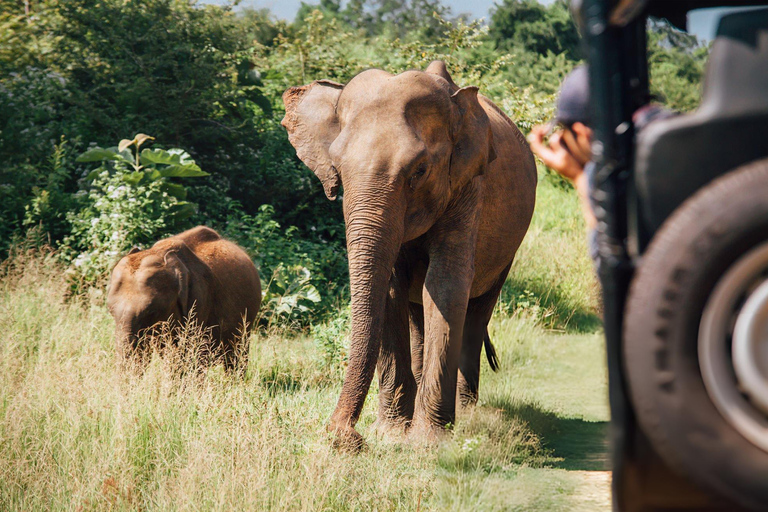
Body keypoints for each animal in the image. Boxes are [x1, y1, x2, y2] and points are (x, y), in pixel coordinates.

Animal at [282, 61, 537, 448]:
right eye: (336, 171)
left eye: (420, 171)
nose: (343, 436)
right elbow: (390, 289)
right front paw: (391, 434)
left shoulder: (468, 186)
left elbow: (445, 286)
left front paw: (429, 442)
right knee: (419, 312)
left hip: (509, 249)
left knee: (477, 312)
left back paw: (468, 414)